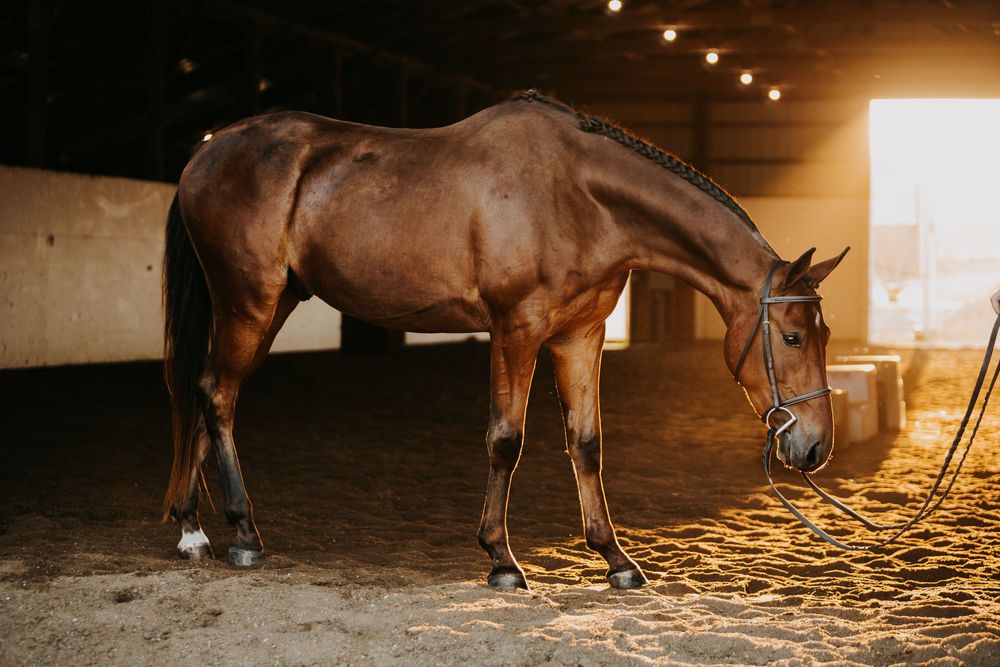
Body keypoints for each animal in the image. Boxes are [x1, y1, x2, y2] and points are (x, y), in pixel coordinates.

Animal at [162, 90, 848, 590]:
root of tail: (205, 152)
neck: (581, 198)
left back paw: (193, 531)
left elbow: (587, 443)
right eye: (792, 336)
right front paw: (502, 561)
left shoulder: (580, 336)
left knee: (205, 394)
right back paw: (243, 535)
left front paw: (616, 560)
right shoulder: (515, 328)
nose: (816, 447)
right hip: (247, 303)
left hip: (271, 305)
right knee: (217, 395)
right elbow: (505, 440)